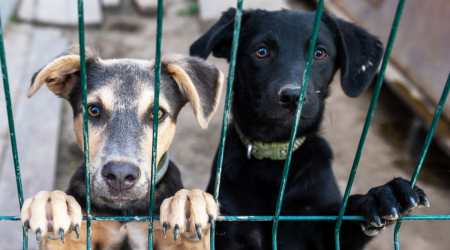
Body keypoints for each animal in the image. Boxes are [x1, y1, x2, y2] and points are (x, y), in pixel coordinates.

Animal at [20, 46, 222, 249]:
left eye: (157, 113)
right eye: (93, 110)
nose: (120, 176)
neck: (124, 211)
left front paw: (189, 202)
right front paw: (52, 203)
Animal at [190, 8, 428, 250]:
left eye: (319, 53)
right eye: (261, 51)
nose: (293, 97)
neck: (277, 156)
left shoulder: (324, 230)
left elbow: (344, 218)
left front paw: (381, 196)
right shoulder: (231, 229)